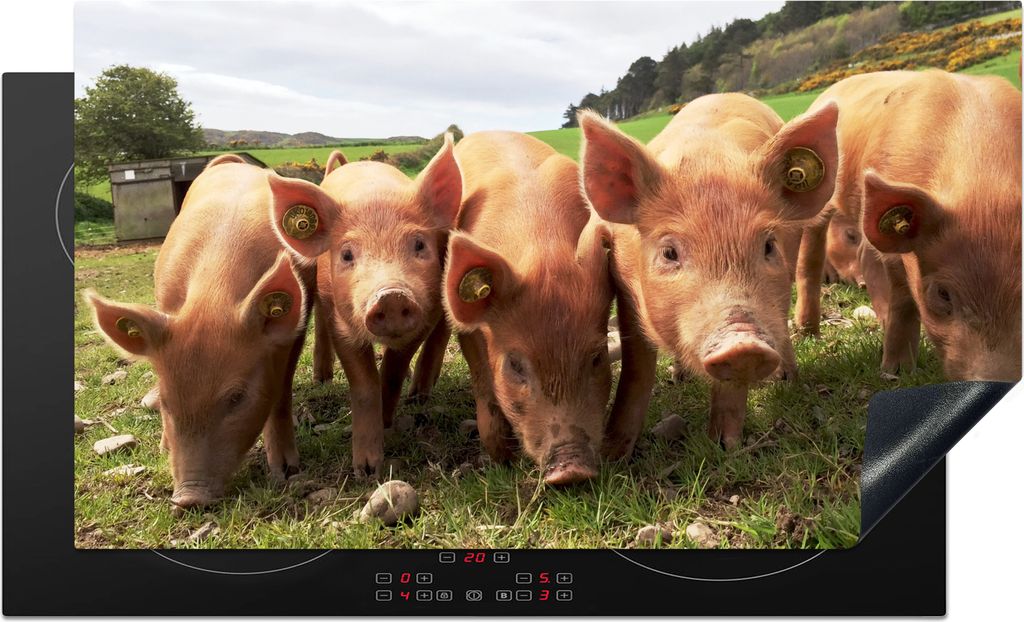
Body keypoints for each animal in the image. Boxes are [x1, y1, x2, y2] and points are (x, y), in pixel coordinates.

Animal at [84, 154, 322, 509]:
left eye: (237, 397)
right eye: (167, 401)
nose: (188, 498)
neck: (213, 297)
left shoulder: (293, 333)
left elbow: (280, 393)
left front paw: (286, 471)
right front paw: (164, 449)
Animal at [272, 137, 462, 478]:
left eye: (419, 244)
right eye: (347, 254)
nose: (391, 295)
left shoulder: (423, 318)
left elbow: (392, 372)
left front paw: (387, 423)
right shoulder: (342, 324)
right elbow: (364, 384)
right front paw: (367, 471)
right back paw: (322, 379)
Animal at [442, 131, 614, 485]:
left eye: (597, 357)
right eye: (515, 365)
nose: (572, 469)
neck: (541, 246)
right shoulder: (469, 335)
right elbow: (484, 388)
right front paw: (502, 459)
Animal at [578, 94, 839, 454]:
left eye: (768, 245)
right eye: (669, 253)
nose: (743, 340)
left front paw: (725, 446)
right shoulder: (625, 286)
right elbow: (638, 368)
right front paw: (615, 454)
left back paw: (787, 379)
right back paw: (679, 376)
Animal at [792, 70, 1021, 381]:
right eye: (942, 293)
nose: (994, 381)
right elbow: (904, 299)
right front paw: (896, 372)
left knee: (864, 255)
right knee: (811, 257)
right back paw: (807, 332)